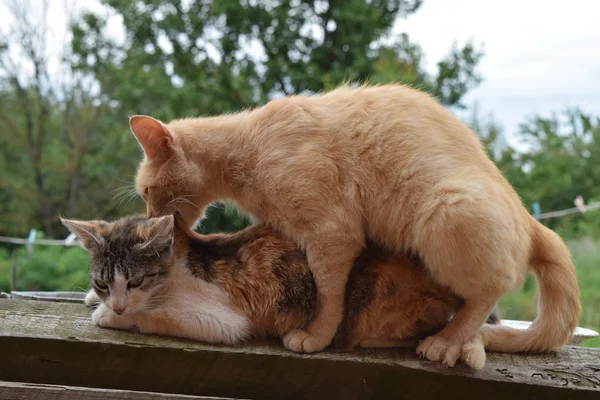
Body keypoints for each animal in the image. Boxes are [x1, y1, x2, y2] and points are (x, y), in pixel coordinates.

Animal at [63, 214, 500, 370]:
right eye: (103, 282)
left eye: (135, 281)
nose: (118, 303)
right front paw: (96, 302)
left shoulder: (222, 320)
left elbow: (157, 315)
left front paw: (111, 316)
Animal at [127, 83, 580, 366]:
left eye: (147, 191)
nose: (150, 214)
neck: (248, 149)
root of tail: (531, 220)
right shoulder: (291, 231)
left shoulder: (332, 233)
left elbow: (330, 294)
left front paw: (315, 336)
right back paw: (465, 344)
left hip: (446, 209)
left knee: (490, 290)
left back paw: (449, 341)